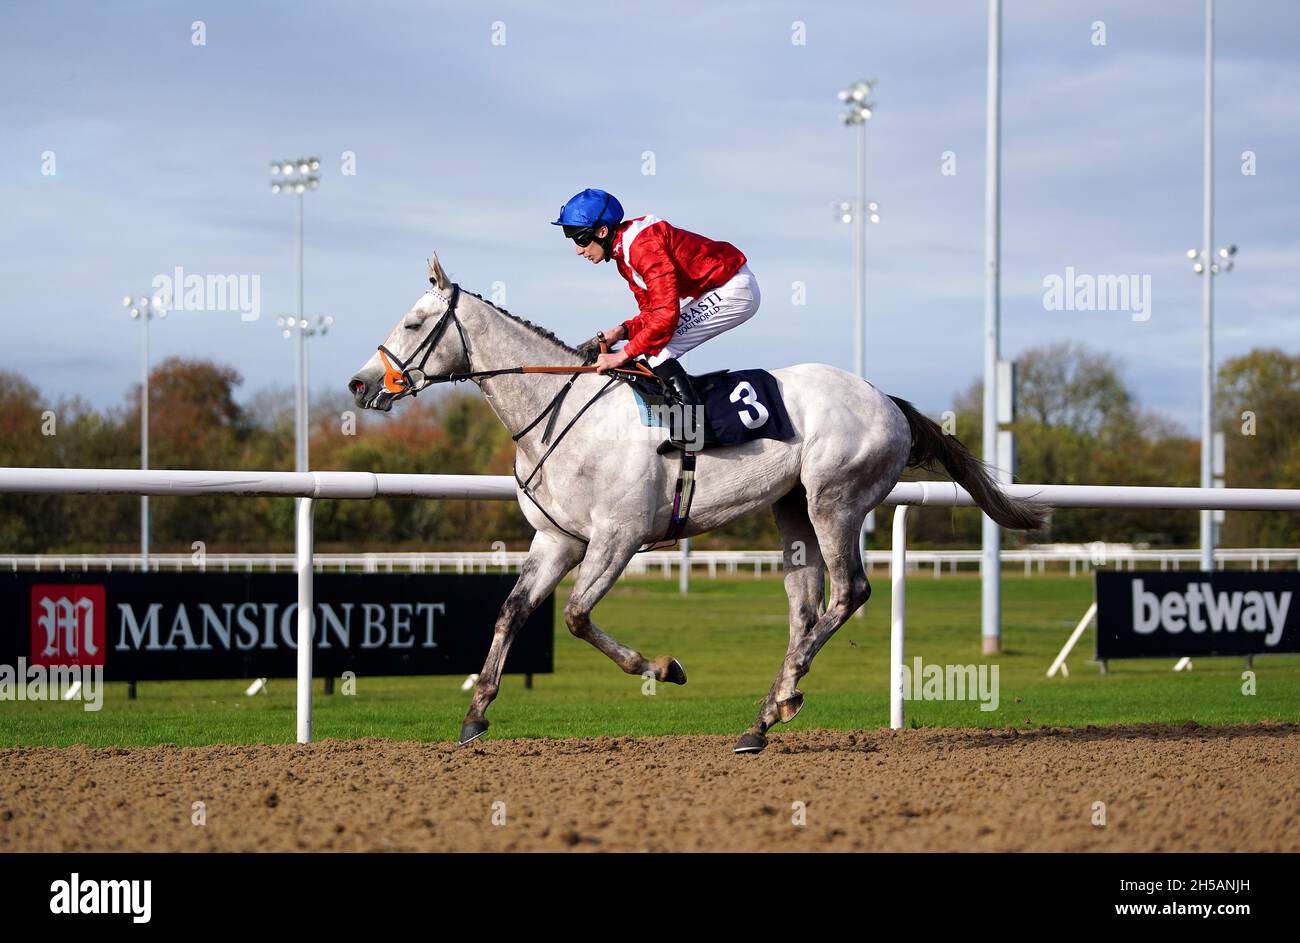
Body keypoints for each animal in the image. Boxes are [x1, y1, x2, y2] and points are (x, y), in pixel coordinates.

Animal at [348, 253, 1045, 754]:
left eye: (414, 323)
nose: (360, 383)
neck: (564, 415)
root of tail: (887, 399)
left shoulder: (619, 536)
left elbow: (575, 616)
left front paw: (663, 667)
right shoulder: (559, 539)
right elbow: (513, 611)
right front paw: (474, 714)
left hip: (836, 499)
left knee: (849, 592)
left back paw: (778, 698)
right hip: (792, 509)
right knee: (806, 608)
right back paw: (768, 713)